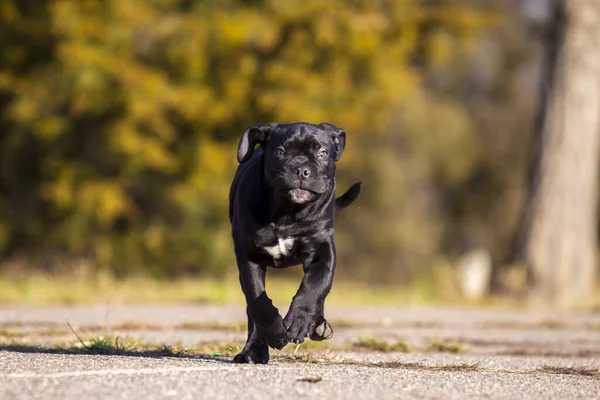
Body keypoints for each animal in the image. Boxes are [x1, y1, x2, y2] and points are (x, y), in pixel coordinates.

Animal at [229, 121, 360, 362]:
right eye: (280, 152)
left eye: (322, 152)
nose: (301, 169)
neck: (287, 214)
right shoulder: (249, 255)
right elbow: (258, 300)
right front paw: (275, 333)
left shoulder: (322, 250)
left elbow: (316, 284)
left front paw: (301, 320)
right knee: (252, 311)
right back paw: (252, 351)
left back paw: (316, 324)